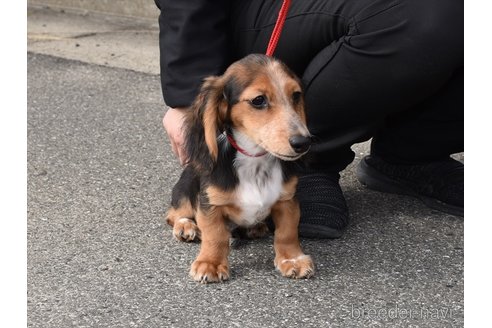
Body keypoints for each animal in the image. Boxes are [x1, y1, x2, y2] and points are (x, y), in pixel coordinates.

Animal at [165, 53, 312, 282]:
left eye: (296, 95)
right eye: (259, 100)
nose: (303, 142)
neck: (255, 161)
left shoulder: (287, 201)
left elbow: (287, 232)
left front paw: (292, 259)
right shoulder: (210, 203)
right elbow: (215, 234)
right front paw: (211, 263)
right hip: (186, 190)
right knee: (174, 213)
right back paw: (185, 226)